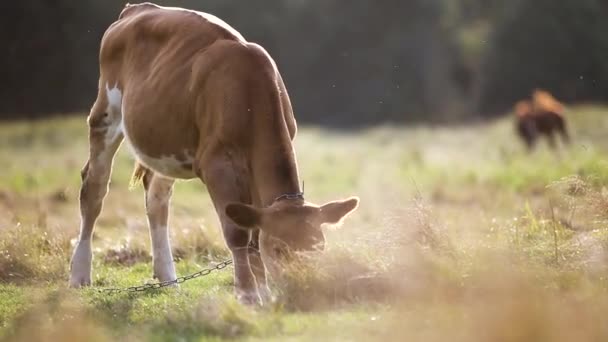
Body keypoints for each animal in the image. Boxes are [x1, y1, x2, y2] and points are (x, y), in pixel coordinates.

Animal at [69, 2, 358, 304]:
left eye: (318, 248)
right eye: (279, 249)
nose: (303, 289)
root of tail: (137, 8)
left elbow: (254, 231)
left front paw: (263, 291)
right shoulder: (216, 165)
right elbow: (238, 233)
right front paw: (248, 294)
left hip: (167, 142)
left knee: (157, 198)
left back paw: (169, 279)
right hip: (105, 115)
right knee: (94, 190)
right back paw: (80, 275)